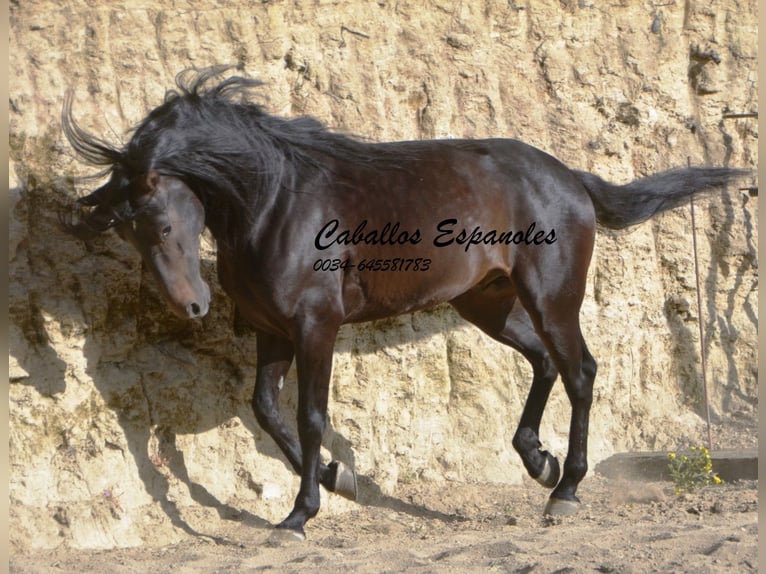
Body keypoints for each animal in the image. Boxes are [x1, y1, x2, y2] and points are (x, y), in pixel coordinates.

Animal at [63, 67, 748, 540]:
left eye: (163, 223)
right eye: (128, 231)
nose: (193, 307)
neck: (278, 201)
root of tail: (569, 178)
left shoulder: (316, 327)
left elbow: (310, 418)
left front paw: (301, 514)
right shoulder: (270, 330)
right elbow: (265, 410)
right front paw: (339, 479)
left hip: (551, 297)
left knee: (579, 370)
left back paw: (566, 489)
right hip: (486, 303)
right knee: (544, 363)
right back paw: (540, 463)